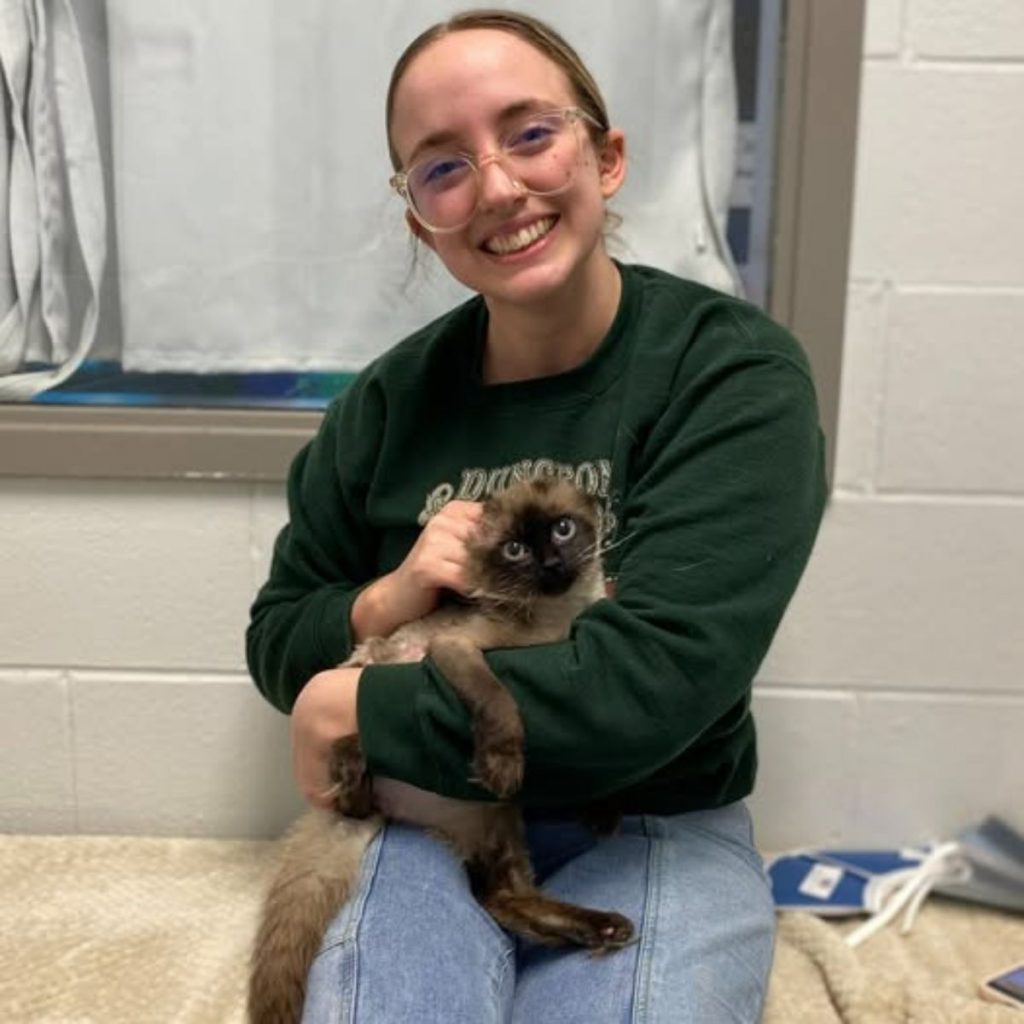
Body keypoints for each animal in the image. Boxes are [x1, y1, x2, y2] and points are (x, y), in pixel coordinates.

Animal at [247, 477, 630, 1024]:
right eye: (515, 549)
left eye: (562, 529)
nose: (551, 564)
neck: (555, 625)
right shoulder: (457, 651)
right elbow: (500, 702)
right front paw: (504, 762)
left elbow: (609, 751)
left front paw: (605, 810)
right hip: (375, 682)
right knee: (354, 766)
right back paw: (356, 773)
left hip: (501, 822)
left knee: (503, 898)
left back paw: (602, 927)